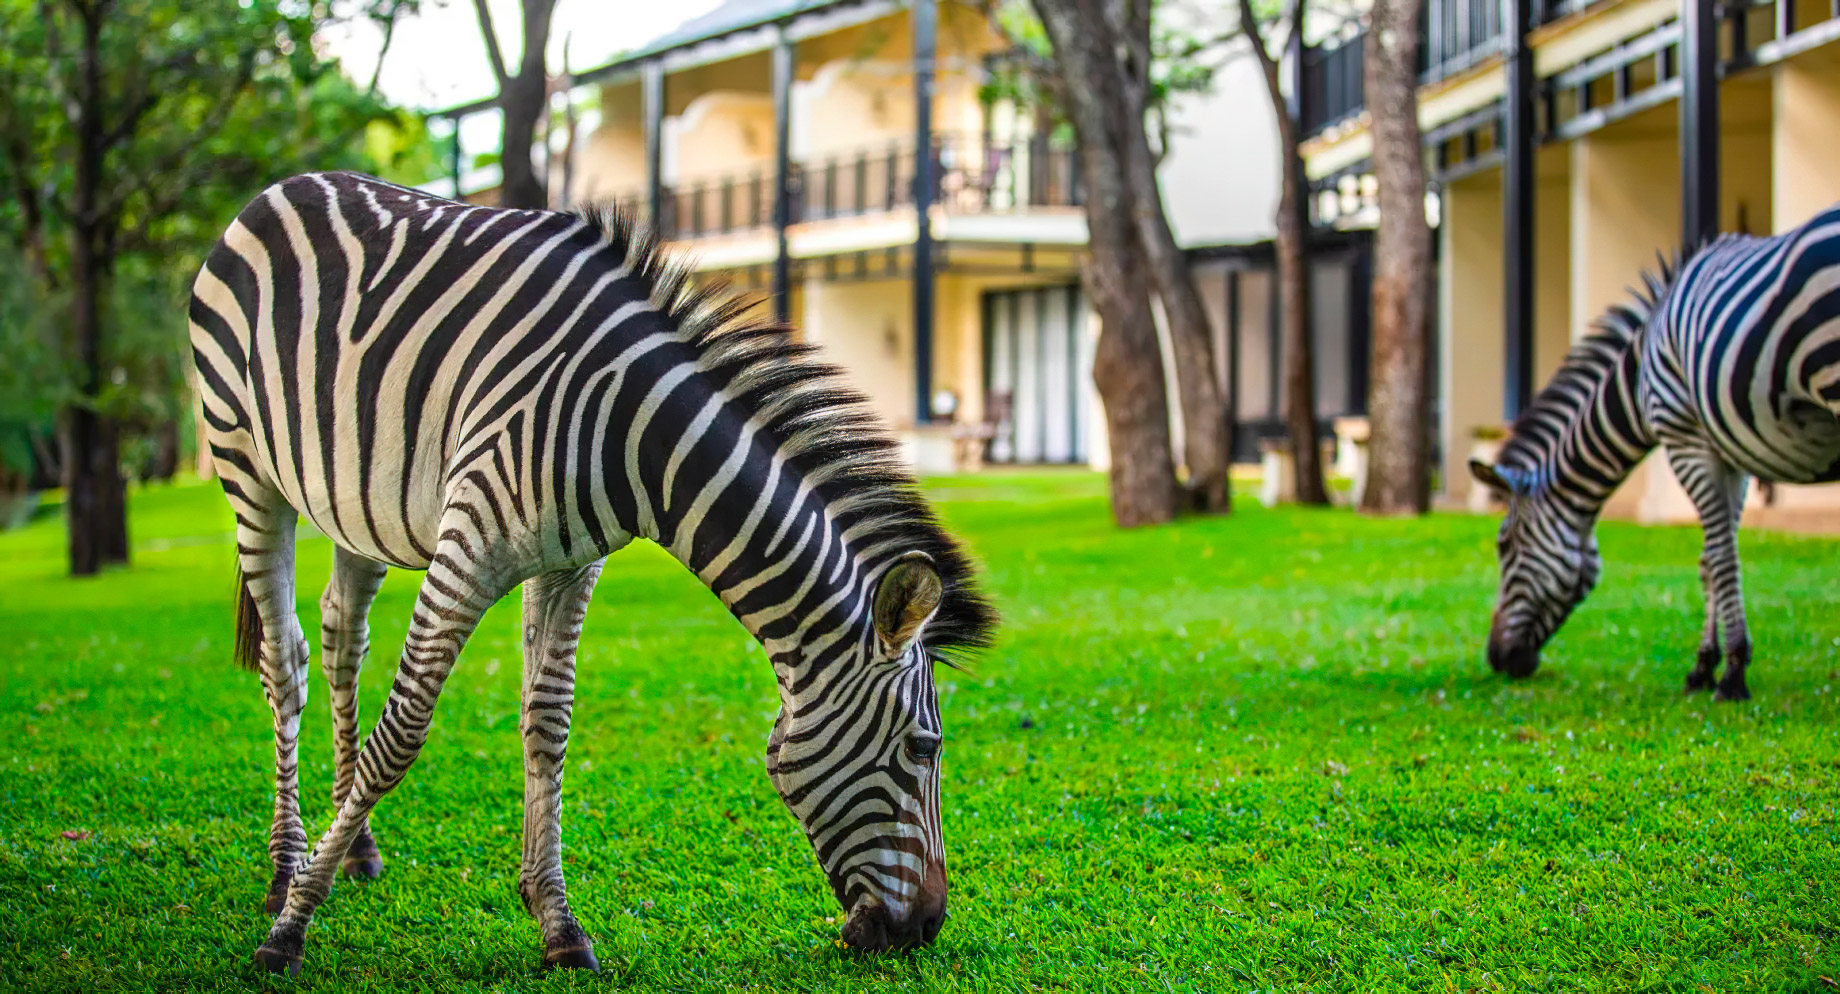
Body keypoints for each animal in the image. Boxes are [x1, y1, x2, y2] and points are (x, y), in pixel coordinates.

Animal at [188, 171, 996, 975]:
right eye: (924, 749)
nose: (927, 927)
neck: (634, 437)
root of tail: (294, 182)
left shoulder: (571, 562)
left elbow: (548, 721)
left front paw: (557, 922)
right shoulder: (469, 543)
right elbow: (403, 733)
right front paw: (291, 927)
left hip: (356, 503)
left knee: (340, 637)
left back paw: (354, 847)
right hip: (245, 466)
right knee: (285, 661)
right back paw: (285, 868)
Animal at [1469, 205, 1840, 700]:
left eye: (1505, 545)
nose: (1498, 658)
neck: (1639, 372)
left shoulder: (1684, 437)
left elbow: (1720, 558)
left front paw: (1732, 673)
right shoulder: (1731, 452)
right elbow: (1710, 559)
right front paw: (1703, 667)